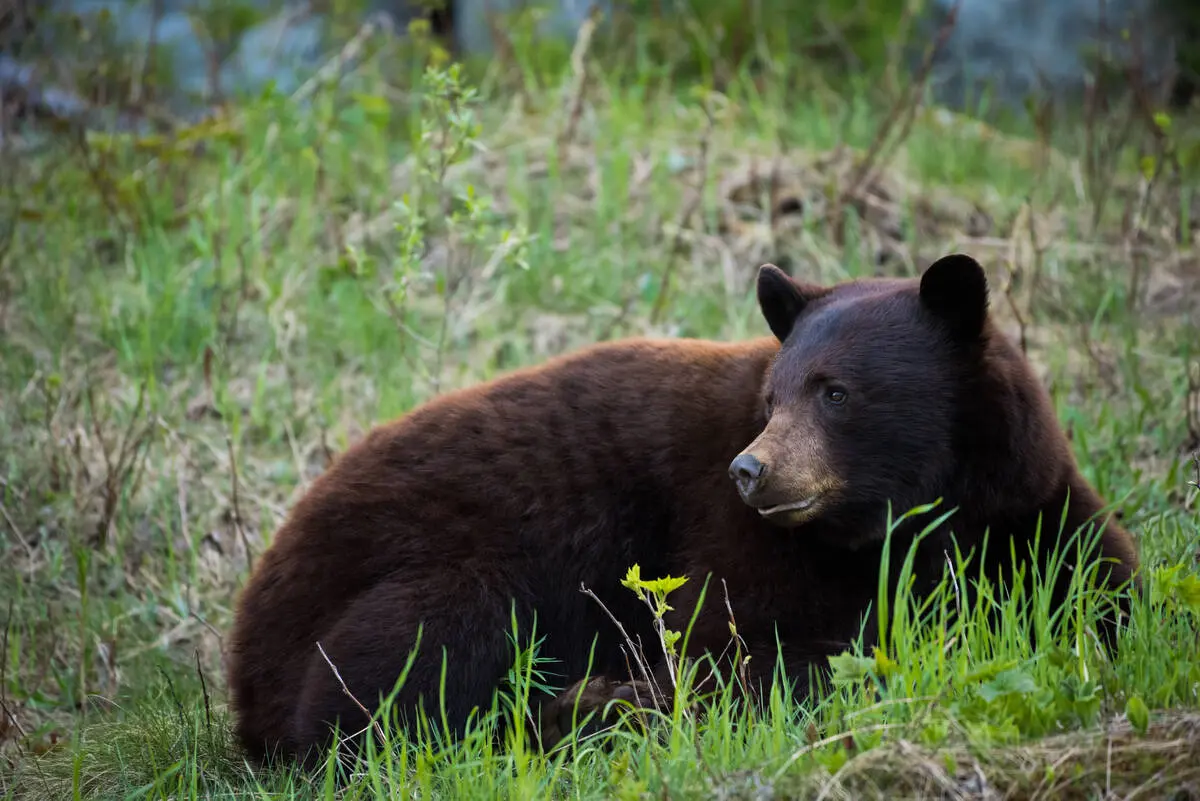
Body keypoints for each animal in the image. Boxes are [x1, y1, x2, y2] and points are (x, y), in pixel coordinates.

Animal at [225, 252, 1140, 768]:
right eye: (772, 397)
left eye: (835, 391)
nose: (749, 468)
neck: (911, 520)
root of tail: (244, 640)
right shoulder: (735, 538)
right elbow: (737, 641)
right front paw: (629, 696)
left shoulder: (1028, 507)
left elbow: (1106, 589)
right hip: (423, 564)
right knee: (389, 680)